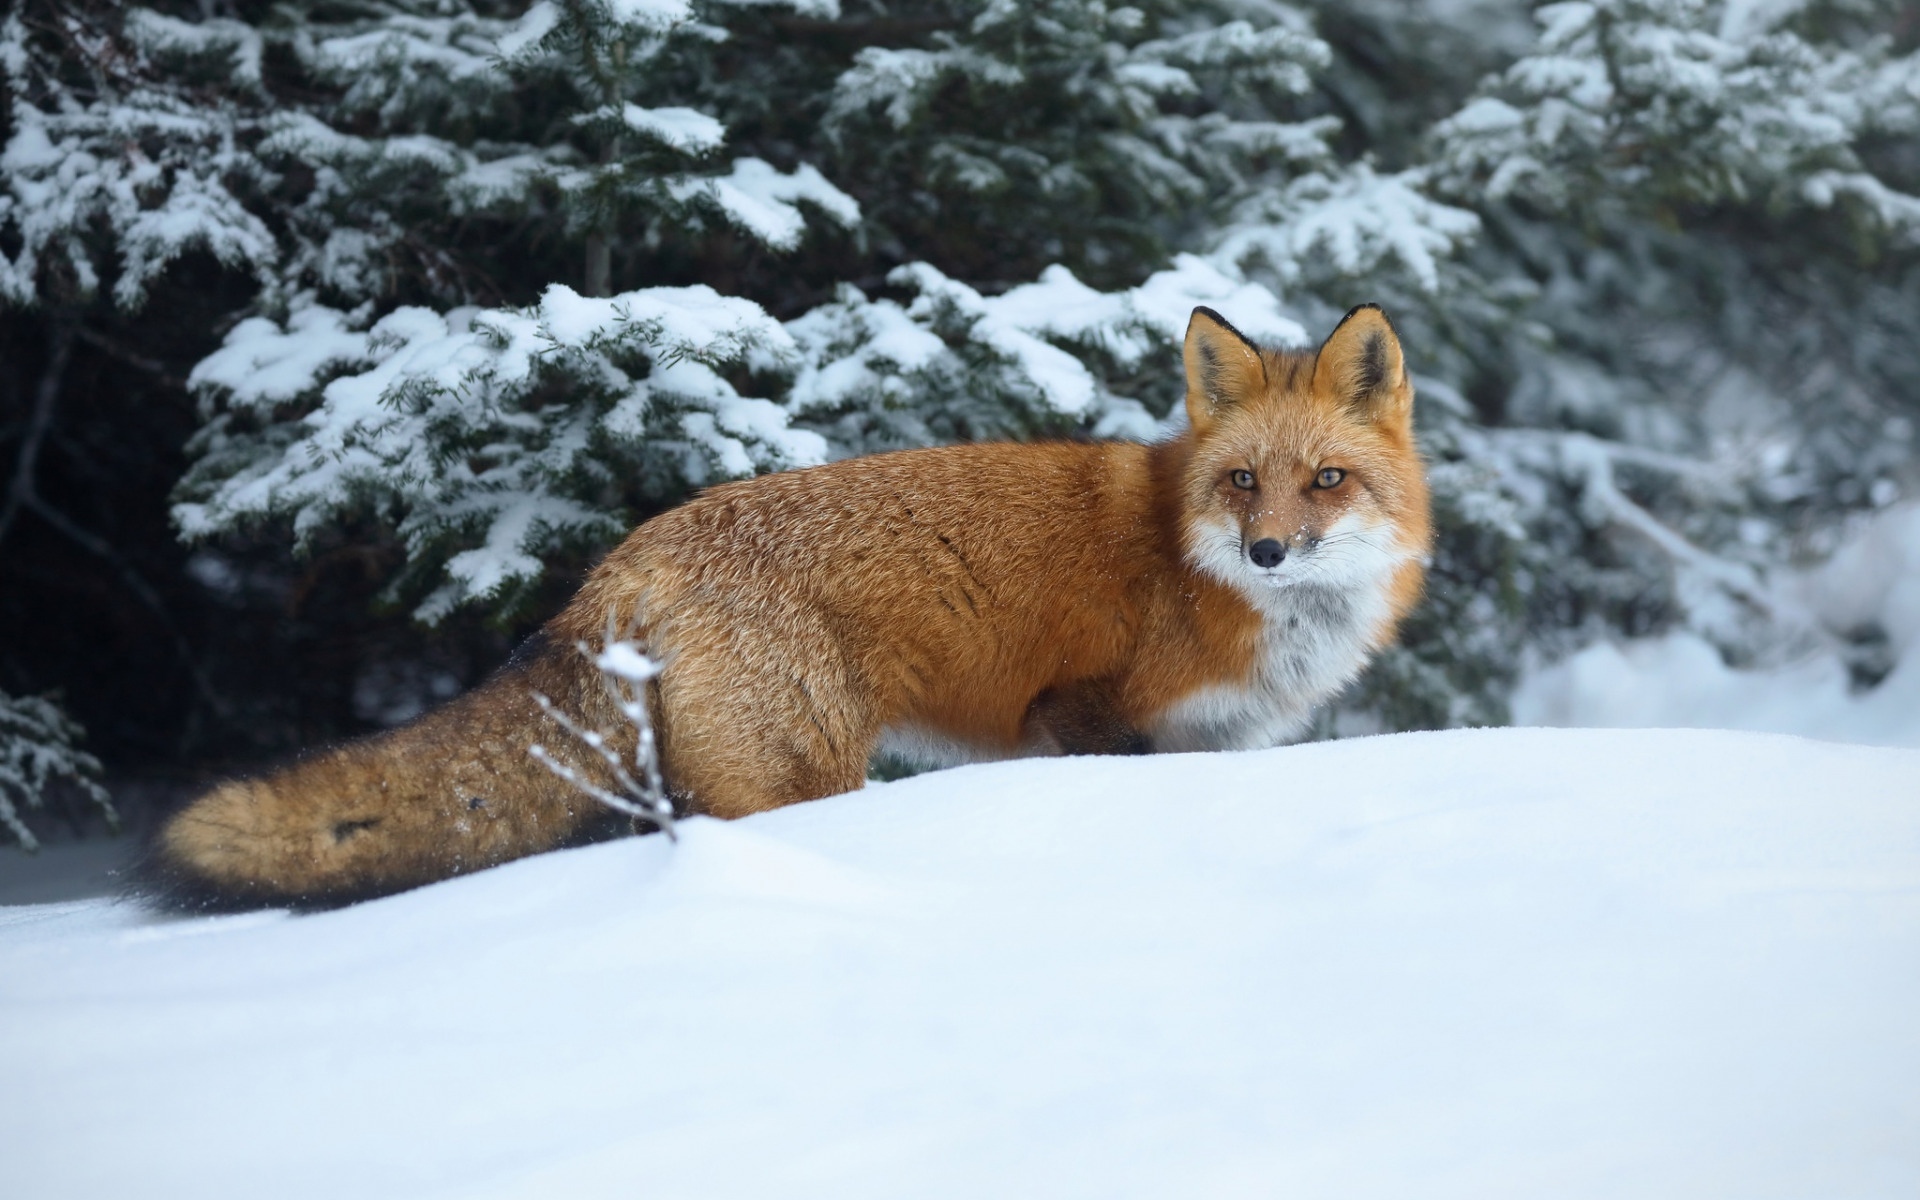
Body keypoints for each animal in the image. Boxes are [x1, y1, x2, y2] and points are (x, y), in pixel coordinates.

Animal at [149, 303, 1436, 902]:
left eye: (1326, 481)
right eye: (1242, 482)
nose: (1268, 550)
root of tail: (630, 553)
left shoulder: (1203, 745)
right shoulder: (1080, 713)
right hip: (799, 774)